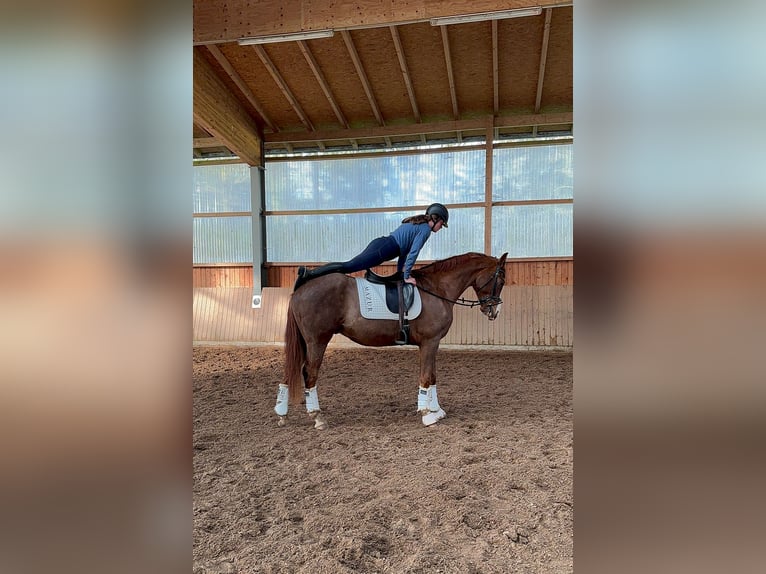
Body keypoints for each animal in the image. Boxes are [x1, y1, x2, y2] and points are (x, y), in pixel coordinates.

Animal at [272, 252, 508, 428]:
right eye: (500, 280)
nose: (494, 311)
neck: (437, 288)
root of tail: (301, 289)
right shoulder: (430, 342)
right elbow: (426, 377)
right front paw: (427, 415)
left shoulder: (433, 344)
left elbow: (432, 376)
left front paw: (437, 410)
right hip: (317, 341)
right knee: (309, 373)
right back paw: (318, 417)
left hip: (305, 342)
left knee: (290, 370)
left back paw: (282, 414)